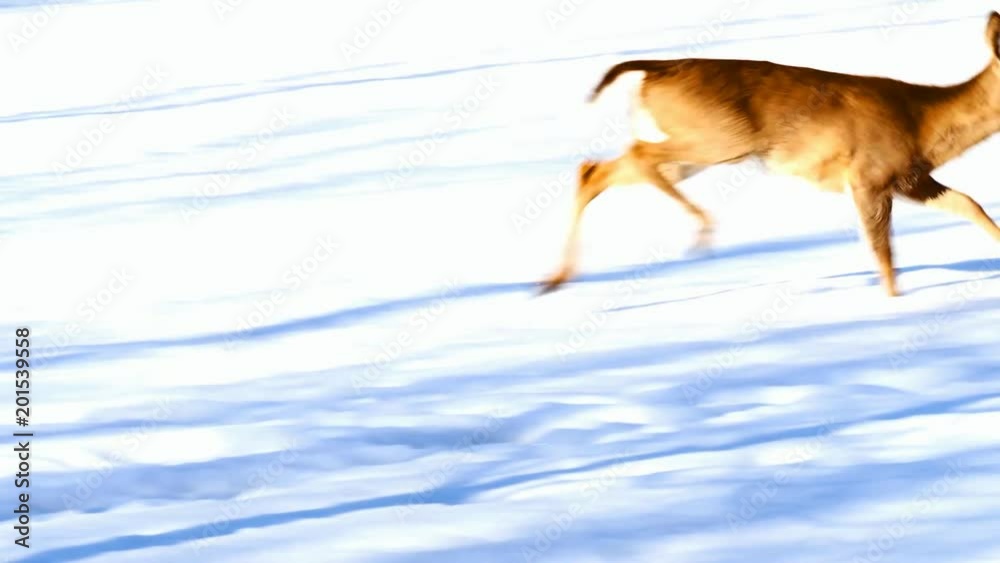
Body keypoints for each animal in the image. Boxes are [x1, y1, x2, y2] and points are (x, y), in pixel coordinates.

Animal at [542, 12, 1000, 297]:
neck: (921, 121)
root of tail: (655, 69)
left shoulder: (909, 178)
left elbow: (970, 204)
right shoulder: (867, 176)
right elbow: (883, 251)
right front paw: (894, 303)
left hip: (697, 147)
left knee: (595, 170)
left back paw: (555, 280)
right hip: (719, 137)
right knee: (636, 155)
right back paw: (701, 228)